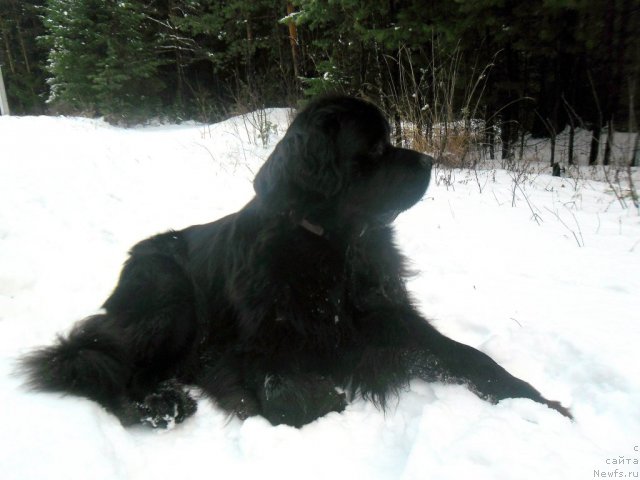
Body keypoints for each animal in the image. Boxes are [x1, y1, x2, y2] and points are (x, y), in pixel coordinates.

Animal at [22, 94, 568, 428]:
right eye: (374, 147)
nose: (430, 161)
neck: (333, 247)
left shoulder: (390, 317)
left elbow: (469, 356)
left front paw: (543, 404)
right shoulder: (247, 346)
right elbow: (283, 394)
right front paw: (325, 396)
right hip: (168, 302)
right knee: (101, 367)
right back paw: (158, 406)